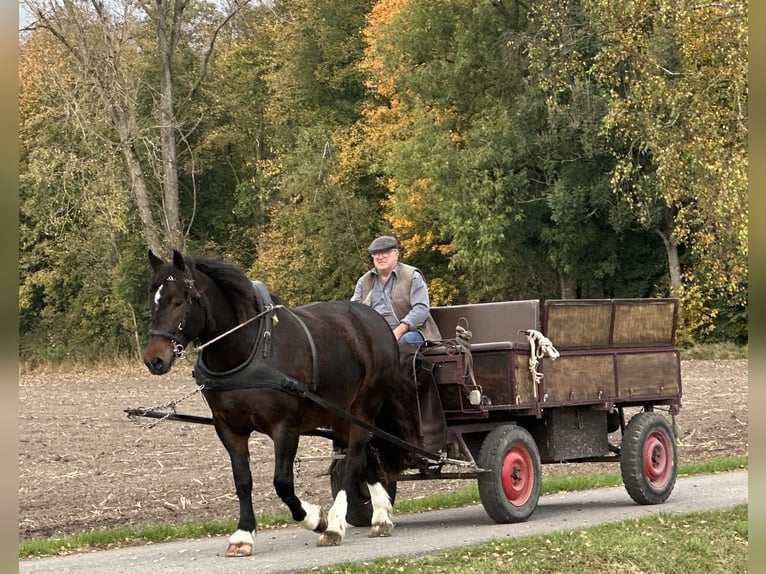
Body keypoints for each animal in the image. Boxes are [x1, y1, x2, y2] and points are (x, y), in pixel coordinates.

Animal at [144, 251, 420, 560]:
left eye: (179, 301)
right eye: (153, 298)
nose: (154, 359)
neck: (249, 350)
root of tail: (375, 321)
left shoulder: (285, 427)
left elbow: (283, 482)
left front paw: (315, 518)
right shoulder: (228, 428)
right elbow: (242, 480)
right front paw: (243, 534)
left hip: (364, 406)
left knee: (352, 462)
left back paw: (335, 526)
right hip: (341, 414)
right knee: (362, 457)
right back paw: (381, 515)